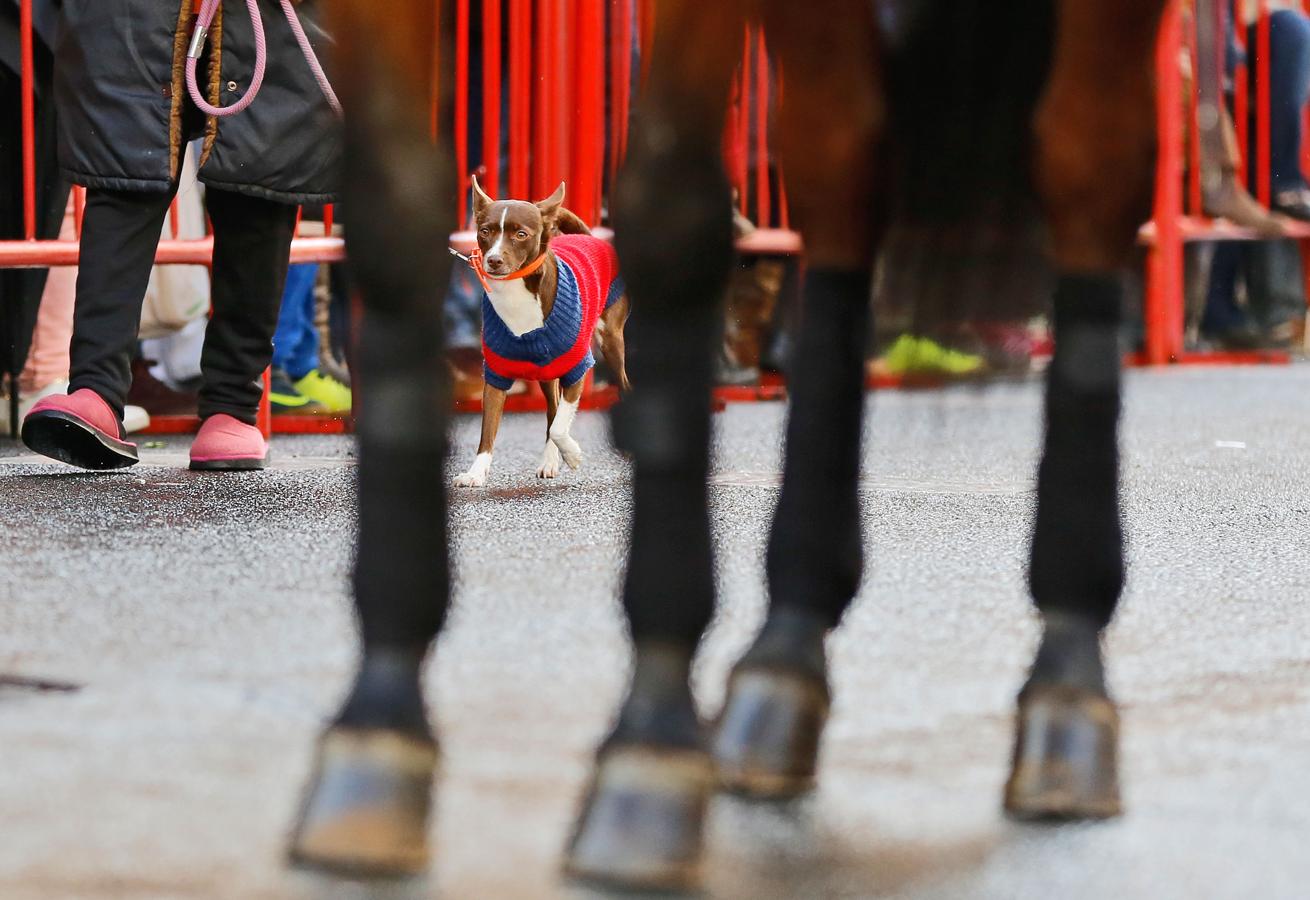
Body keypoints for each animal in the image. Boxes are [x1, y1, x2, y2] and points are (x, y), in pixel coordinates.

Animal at [453, 175, 631, 484]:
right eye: (485, 231)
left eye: (521, 234)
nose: (494, 260)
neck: (516, 294)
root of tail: (587, 237)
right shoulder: (496, 375)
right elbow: (488, 430)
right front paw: (476, 473)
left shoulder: (578, 369)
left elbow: (560, 426)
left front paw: (572, 454)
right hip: (547, 374)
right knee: (552, 409)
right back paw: (549, 461)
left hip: (611, 342)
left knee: (617, 385)